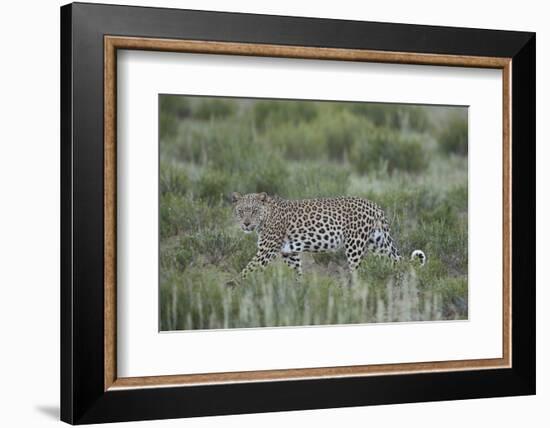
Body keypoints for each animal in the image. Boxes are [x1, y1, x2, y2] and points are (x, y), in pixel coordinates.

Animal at [229, 192, 426, 286]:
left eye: (254, 211)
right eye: (241, 211)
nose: (246, 224)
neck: (266, 216)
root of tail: (374, 205)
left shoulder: (266, 251)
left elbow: (248, 269)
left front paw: (231, 286)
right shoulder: (289, 253)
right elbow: (297, 272)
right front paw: (298, 289)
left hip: (355, 245)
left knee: (357, 272)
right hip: (378, 243)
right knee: (397, 262)